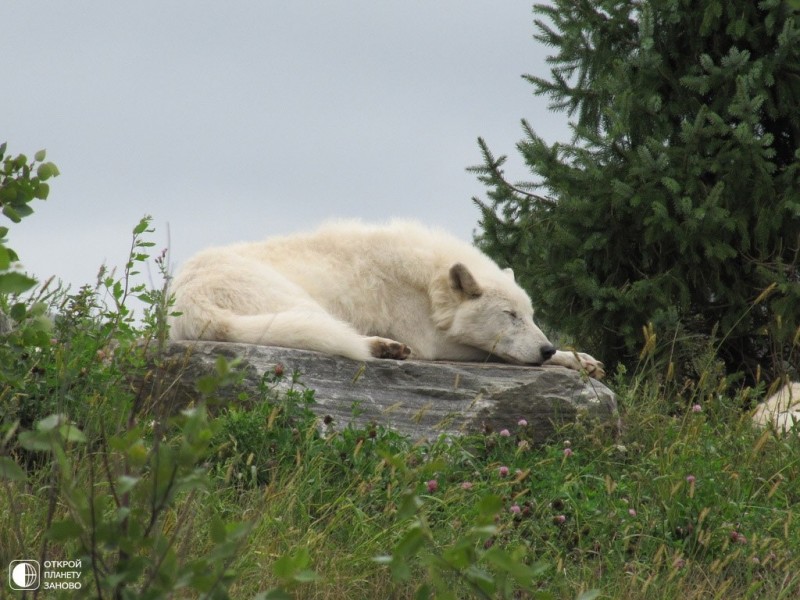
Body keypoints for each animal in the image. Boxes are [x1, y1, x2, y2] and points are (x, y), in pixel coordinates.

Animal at [170, 220, 608, 380]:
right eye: (509, 315)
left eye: (531, 316)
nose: (546, 348)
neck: (427, 282)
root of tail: (186, 303)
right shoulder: (432, 343)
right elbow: (496, 352)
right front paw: (568, 358)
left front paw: (580, 358)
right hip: (303, 305)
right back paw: (385, 348)